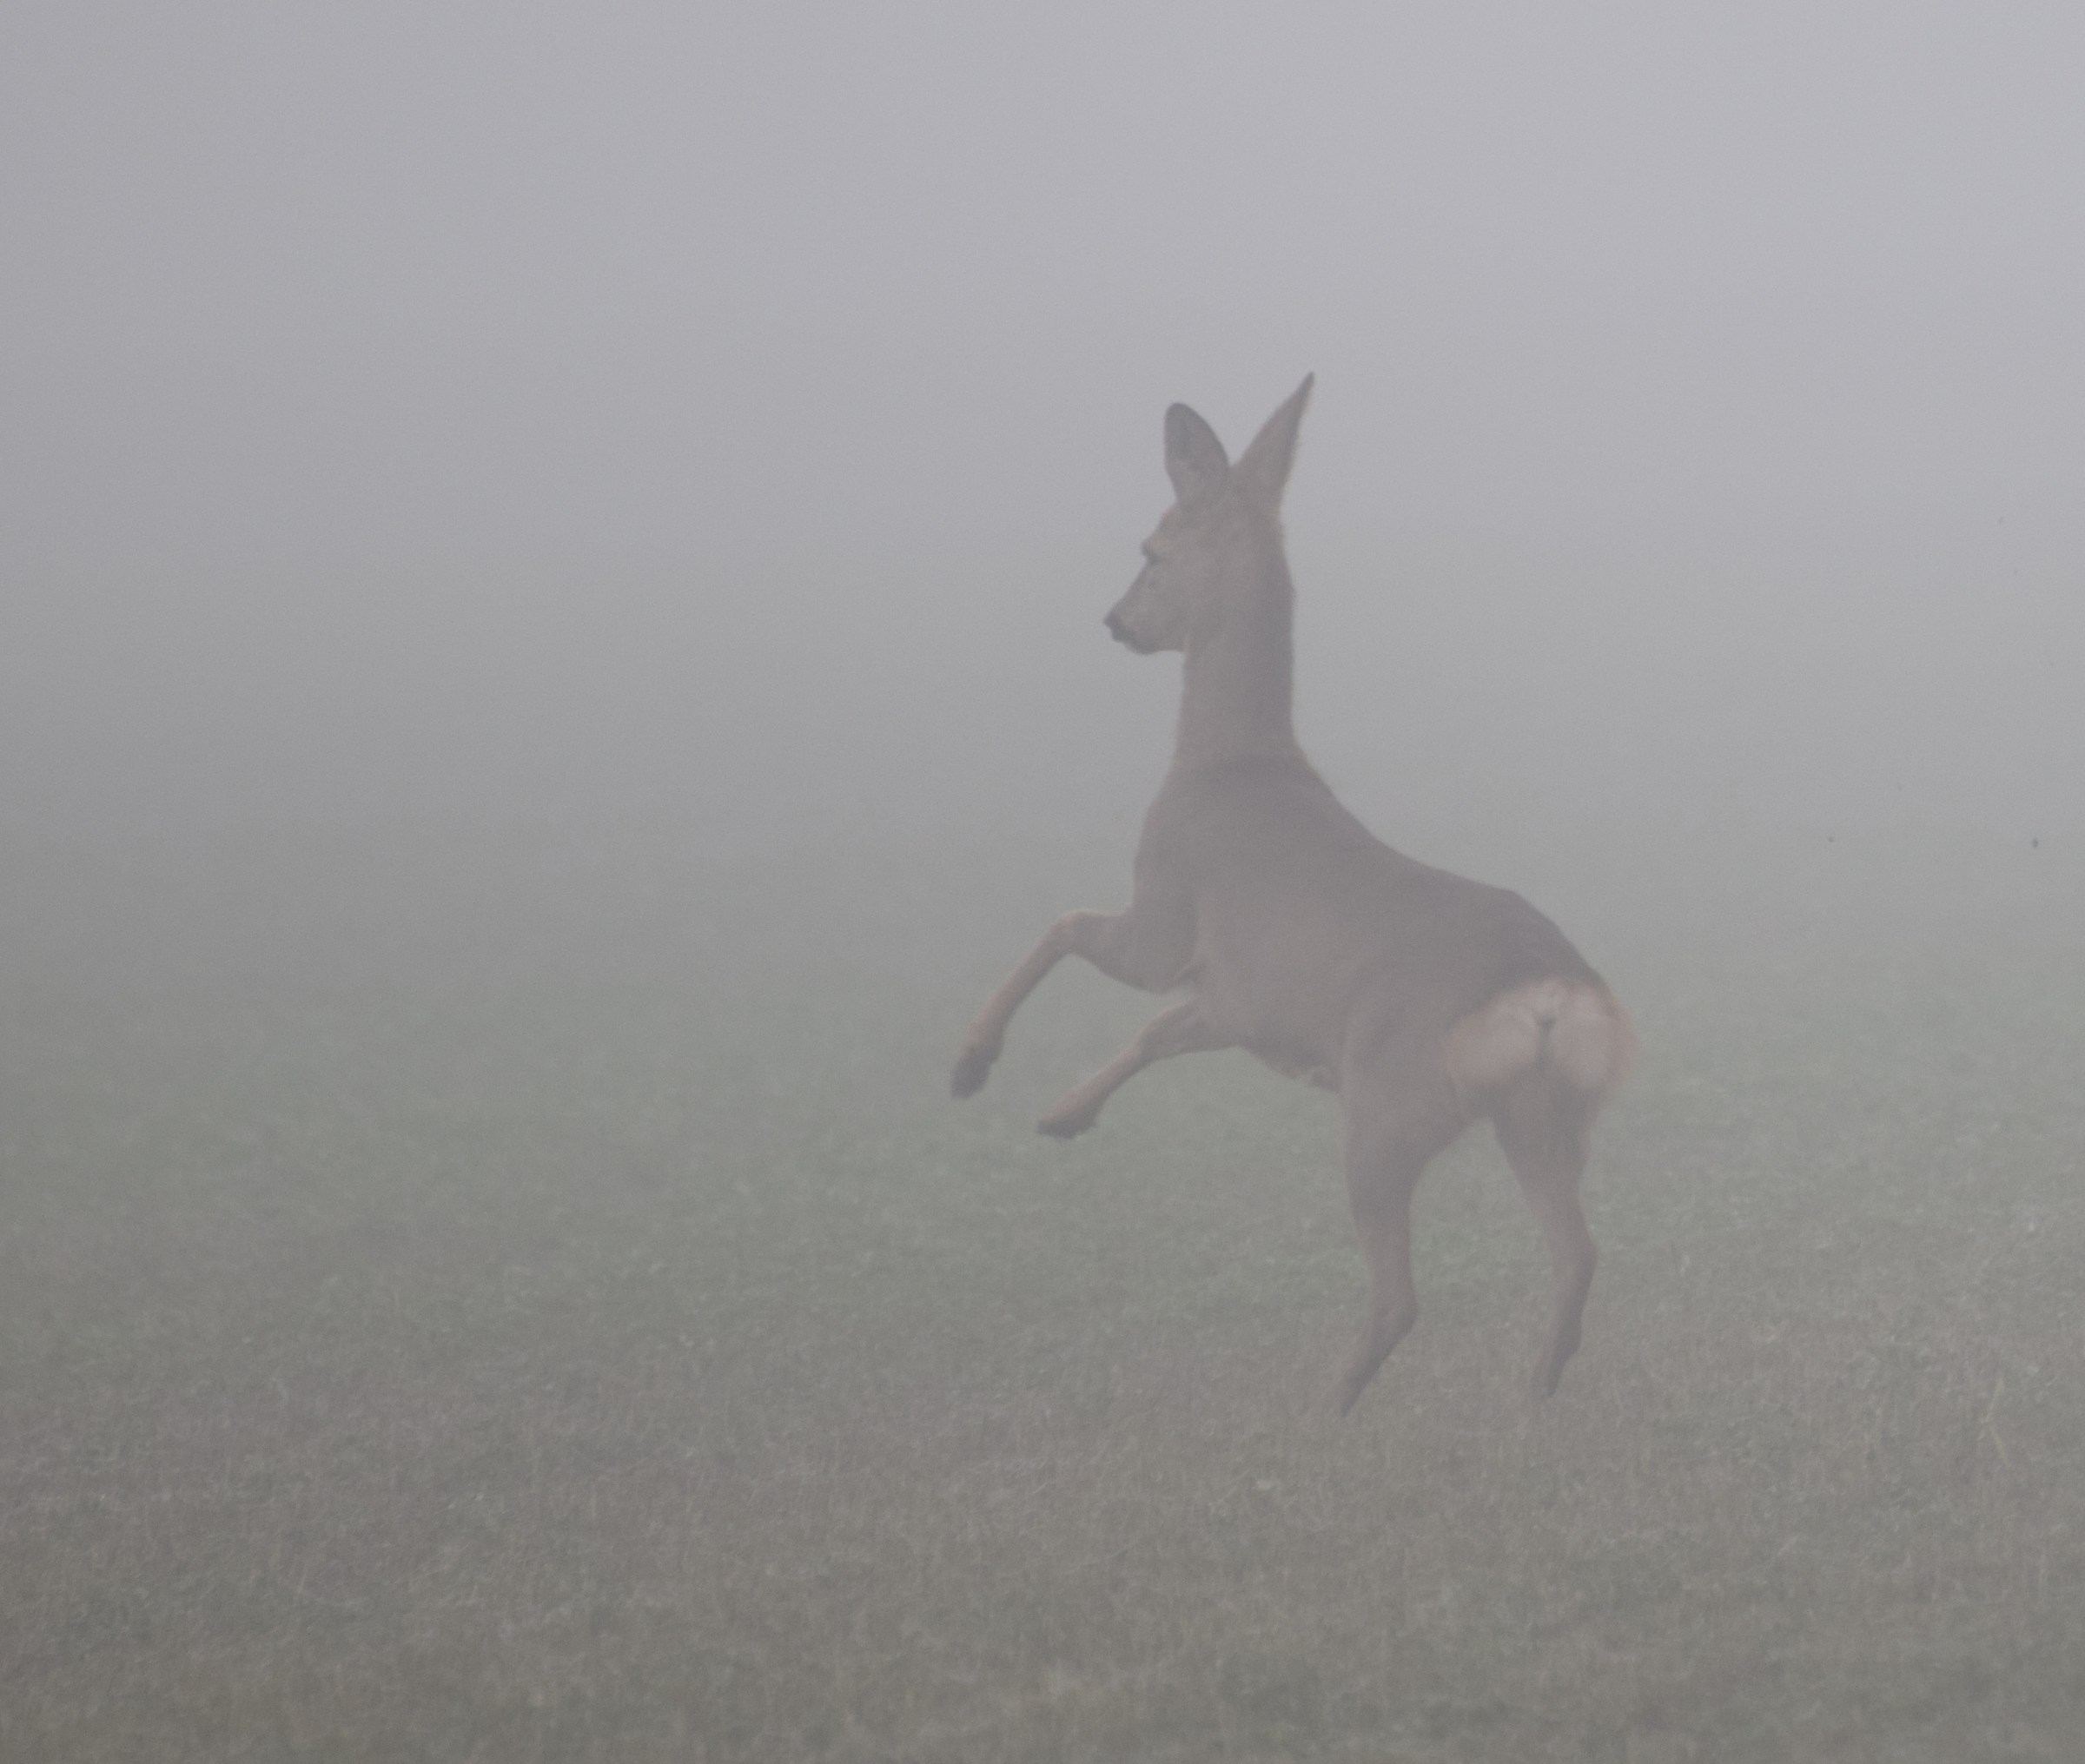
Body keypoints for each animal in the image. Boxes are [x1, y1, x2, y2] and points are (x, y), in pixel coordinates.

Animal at [950, 377, 1635, 1414]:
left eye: (1151, 550)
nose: (1115, 622)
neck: (1229, 760)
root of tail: (1551, 993)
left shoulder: (1163, 916)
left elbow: (1065, 927)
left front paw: (973, 1065)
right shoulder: (1236, 1000)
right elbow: (1156, 1033)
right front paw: (1063, 1116)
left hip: (1388, 1106)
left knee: (1400, 1294)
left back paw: (1324, 1410)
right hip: (1545, 1114)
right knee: (1579, 1255)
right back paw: (1532, 1393)